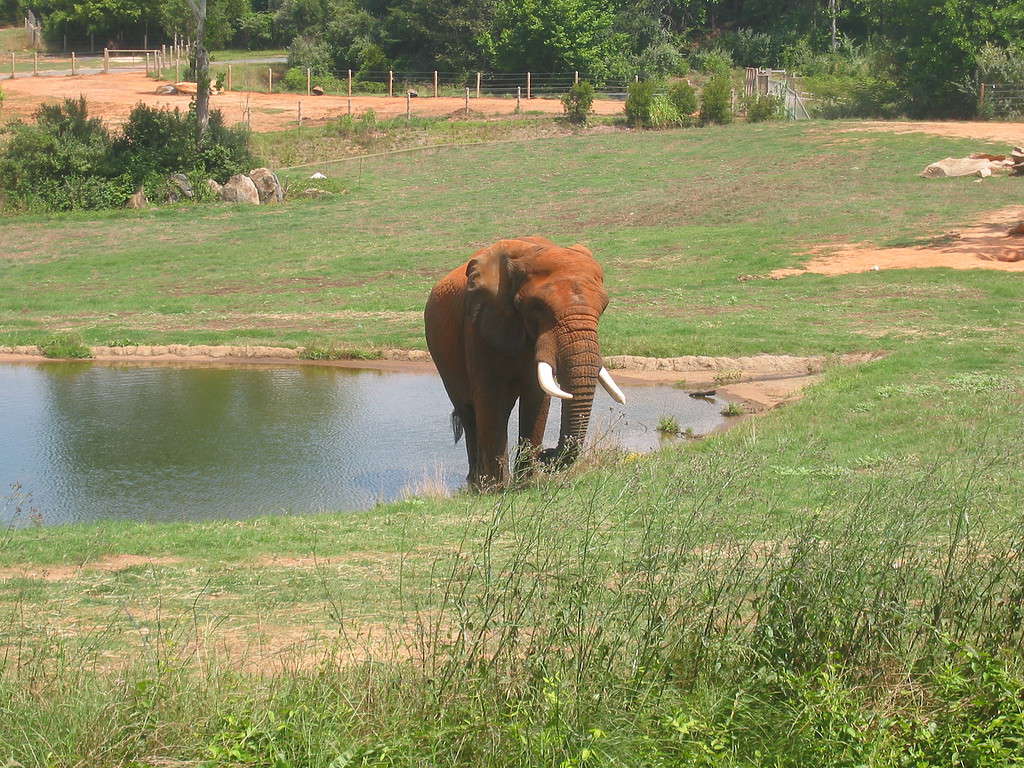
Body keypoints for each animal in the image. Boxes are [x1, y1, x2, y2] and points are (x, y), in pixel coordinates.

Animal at [424, 236, 626, 489]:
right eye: (538, 307)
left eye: (604, 307)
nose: (546, 455)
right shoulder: (479, 323)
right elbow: (489, 395)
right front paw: (496, 489)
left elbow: (537, 396)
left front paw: (525, 484)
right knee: (470, 412)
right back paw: (477, 484)